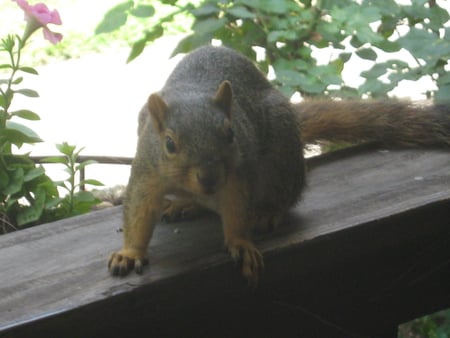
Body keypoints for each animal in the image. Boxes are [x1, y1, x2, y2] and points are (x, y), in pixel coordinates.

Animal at [109, 45, 450, 286]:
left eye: (230, 133)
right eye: (169, 144)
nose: (209, 178)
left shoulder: (237, 174)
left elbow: (236, 207)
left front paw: (240, 242)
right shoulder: (147, 171)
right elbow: (138, 210)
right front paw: (130, 253)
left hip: (280, 161)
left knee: (286, 196)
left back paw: (268, 212)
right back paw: (184, 204)